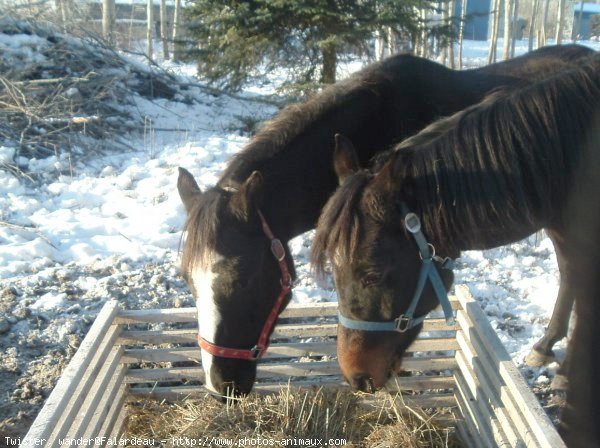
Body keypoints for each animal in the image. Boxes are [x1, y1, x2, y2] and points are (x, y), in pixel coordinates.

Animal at [176, 44, 592, 396]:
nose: (220, 385)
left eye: (243, 279)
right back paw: (545, 346)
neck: (376, 118)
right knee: (570, 270)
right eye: (189, 283)